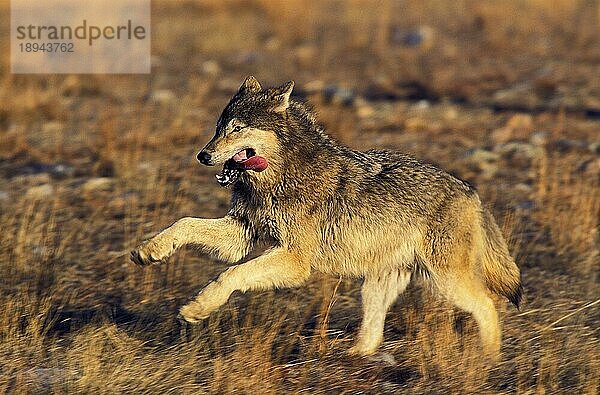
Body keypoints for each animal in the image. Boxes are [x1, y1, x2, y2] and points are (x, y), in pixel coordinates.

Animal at [130, 76, 520, 358]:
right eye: (218, 127)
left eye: (237, 129)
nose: (203, 155)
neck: (280, 175)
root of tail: (471, 191)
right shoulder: (241, 233)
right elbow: (184, 223)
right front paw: (149, 251)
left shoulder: (294, 260)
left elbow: (231, 275)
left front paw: (198, 308)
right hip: (376, 287)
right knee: (372, 334)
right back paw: (346, 356)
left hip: (445, 281)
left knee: (488, 305)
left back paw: (488, 361)